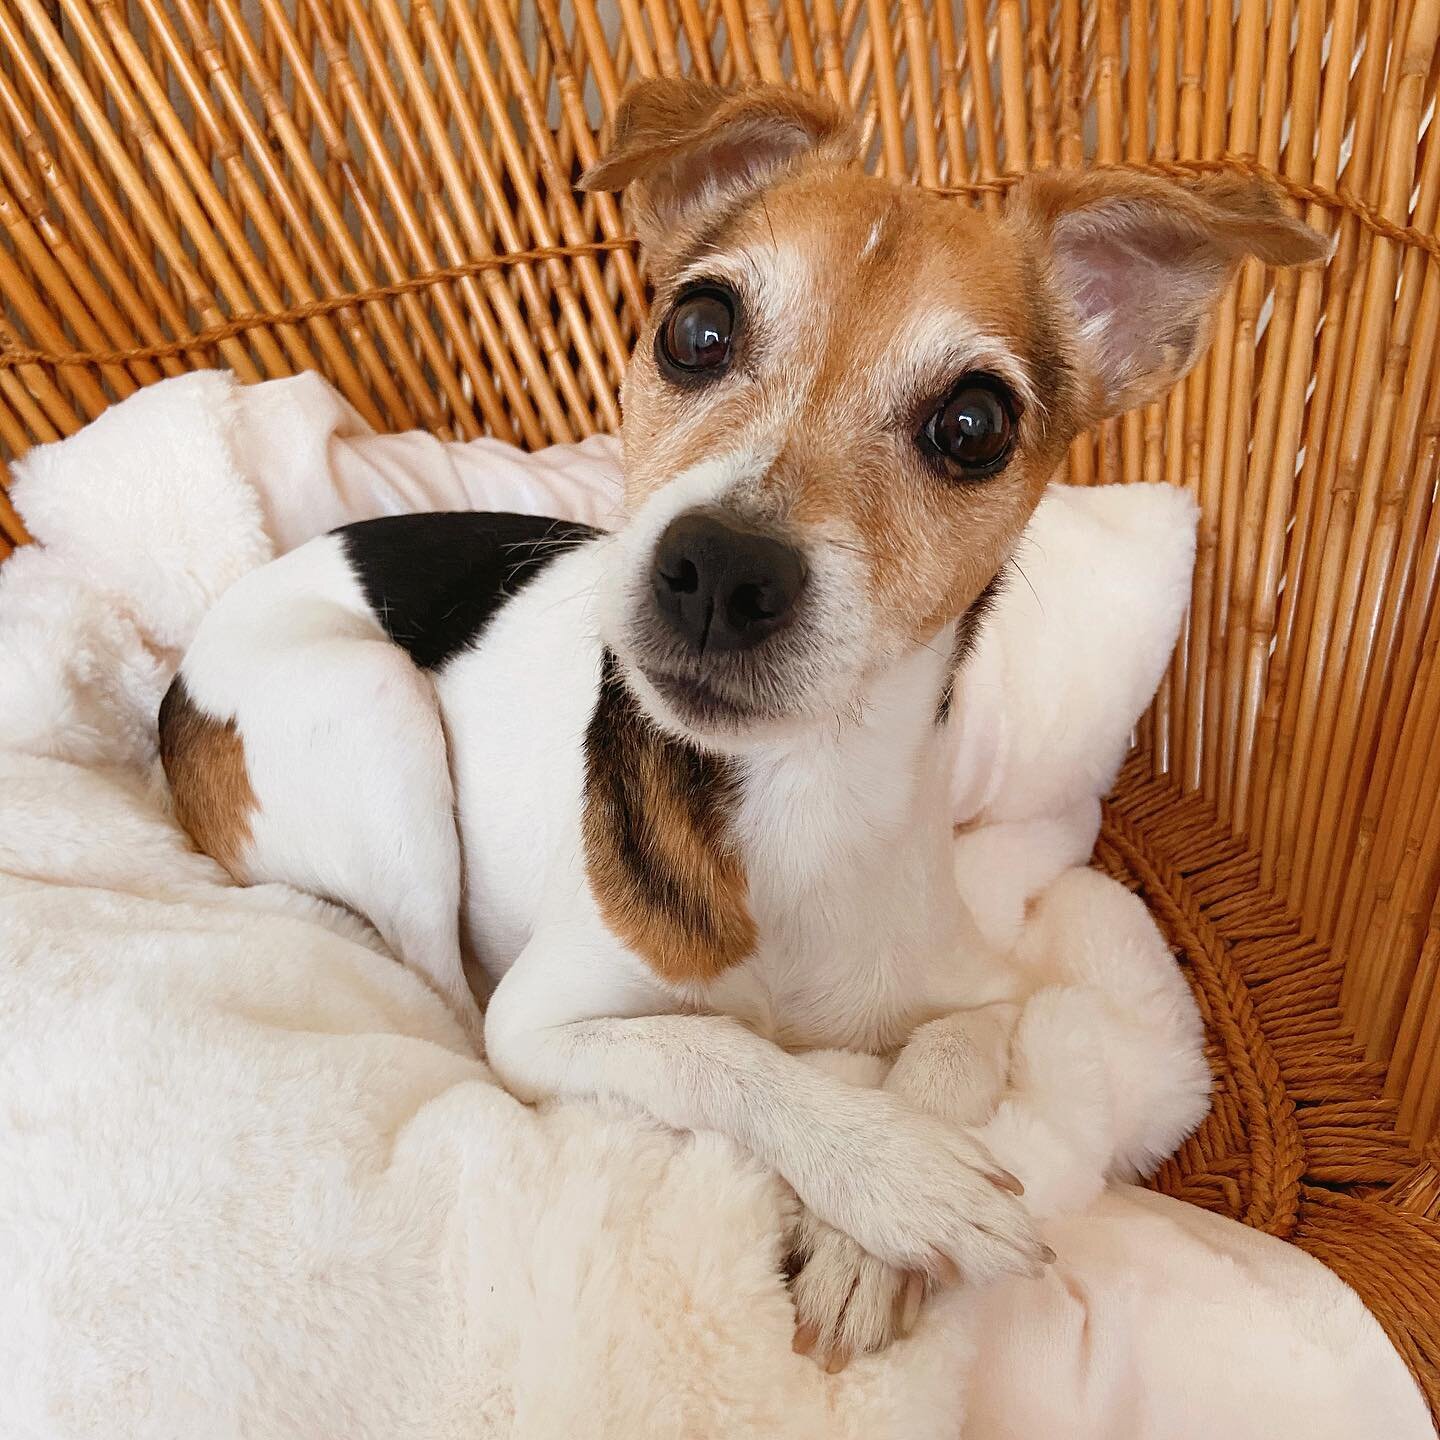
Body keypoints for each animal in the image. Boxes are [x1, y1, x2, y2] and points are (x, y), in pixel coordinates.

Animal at [157, 81, 1324, 1370]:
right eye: (699, 329)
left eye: (974, 425)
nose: (718, 570)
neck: (798, 794)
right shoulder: (547, 1026)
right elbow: (722, 1051)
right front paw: (896, 1176)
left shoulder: (985, 993)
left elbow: (951, 1048)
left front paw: (869, 1240)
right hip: (379, 720)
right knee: (442, 988)